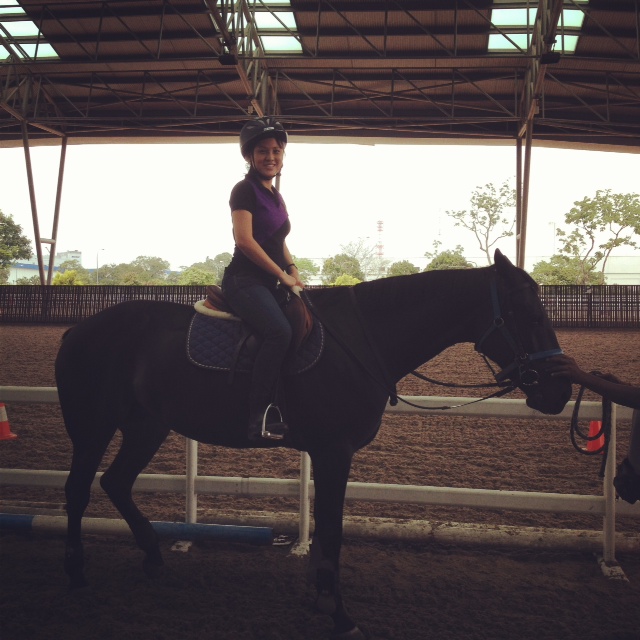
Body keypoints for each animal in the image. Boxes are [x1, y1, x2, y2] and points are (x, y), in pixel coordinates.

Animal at [55, 251, 568, 640]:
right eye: (531, 314)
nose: (559, 391)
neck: (362, 339)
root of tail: (80, 329)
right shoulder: (333, 451)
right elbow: (333, 530)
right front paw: (338, 614)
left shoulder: (329, 454)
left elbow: (324, 528)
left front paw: (321, 597)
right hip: (93, 426)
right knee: (78, 490)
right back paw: (76, 574)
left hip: (147, 427)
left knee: (116, 482)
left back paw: (153, 557)